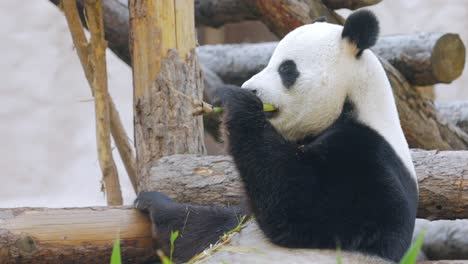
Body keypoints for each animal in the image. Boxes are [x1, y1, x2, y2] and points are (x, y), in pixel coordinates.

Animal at [134, 9, 416, 262]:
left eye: (287, 69)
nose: (251, 89)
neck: (352, 105)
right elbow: (222, 224)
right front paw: (154, 203)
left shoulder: (367, 157)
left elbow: (300, 209)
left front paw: (236, 101)